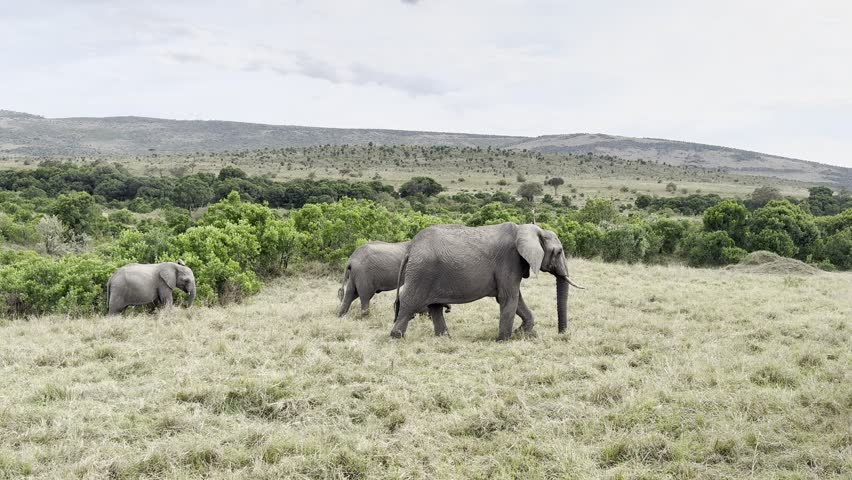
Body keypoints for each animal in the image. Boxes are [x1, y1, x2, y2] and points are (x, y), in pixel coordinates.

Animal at [390, 223, 583, 341]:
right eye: (559, 252)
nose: (561, 333)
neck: (526, 229)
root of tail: (411, 248)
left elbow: (516, 299)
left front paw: (519, 333)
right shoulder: (509, 260)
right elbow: (508, 298)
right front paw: (503, 340)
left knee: (435, 306)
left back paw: (445, 338)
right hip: (422, 271)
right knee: (410, 301)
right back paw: (396, 337)